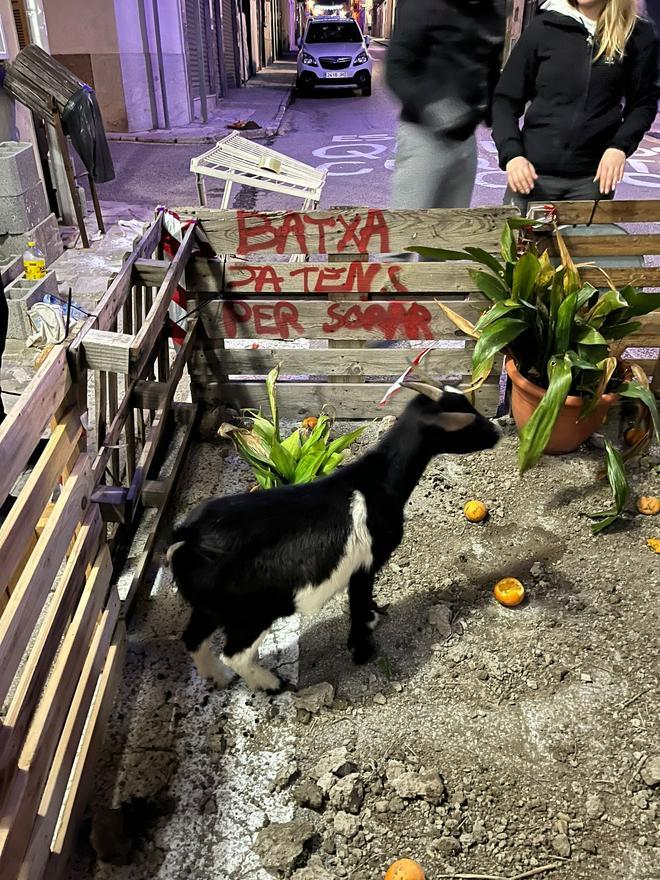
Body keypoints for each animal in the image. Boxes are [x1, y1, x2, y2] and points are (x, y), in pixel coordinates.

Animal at [166, 382, 500, 692]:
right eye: (465, 422)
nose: (497, 432)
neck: (376, 483)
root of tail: (187, 537)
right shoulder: (367, 563)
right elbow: (359, 600)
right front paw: (363, 647)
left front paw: (372, 618)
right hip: (251, 613)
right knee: (235, 654)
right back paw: (269, 683)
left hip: (210, 607)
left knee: (192, 638)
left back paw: (219, 677)